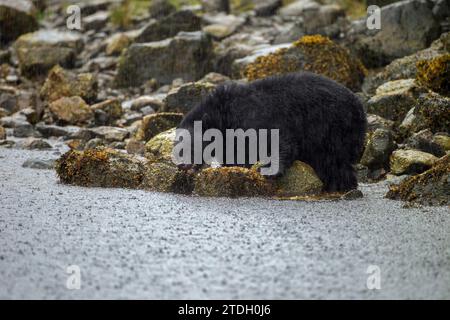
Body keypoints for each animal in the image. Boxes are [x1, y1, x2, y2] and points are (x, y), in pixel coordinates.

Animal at [174, 72, 368, 192]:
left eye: (190, 146)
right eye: (176, 147)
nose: (182, 165)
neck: (224, 114)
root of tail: (360, 108)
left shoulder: (260, 119)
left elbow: (280, 142)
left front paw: (268, 170)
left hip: (333, 127)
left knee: (334, 161)